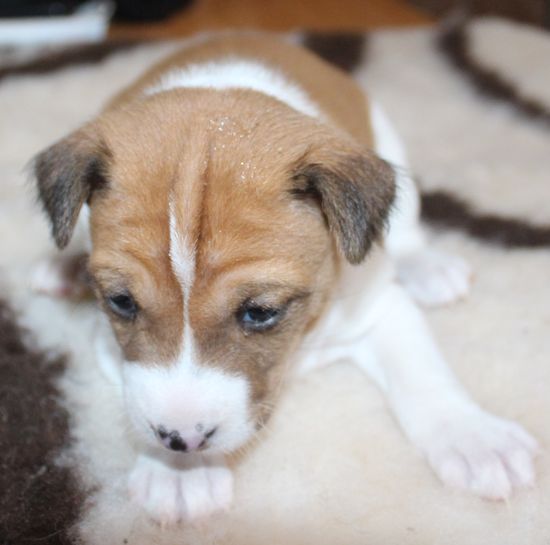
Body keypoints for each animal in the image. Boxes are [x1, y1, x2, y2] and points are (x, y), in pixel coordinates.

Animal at [31, 32, 538, 525]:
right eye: (121, 302)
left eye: (260, 312)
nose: (182, 441)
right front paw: (179, 472)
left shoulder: (379, 306)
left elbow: (424, 373)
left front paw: (475, 437)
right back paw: (62, 265)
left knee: (408, 229)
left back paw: (426, 266)